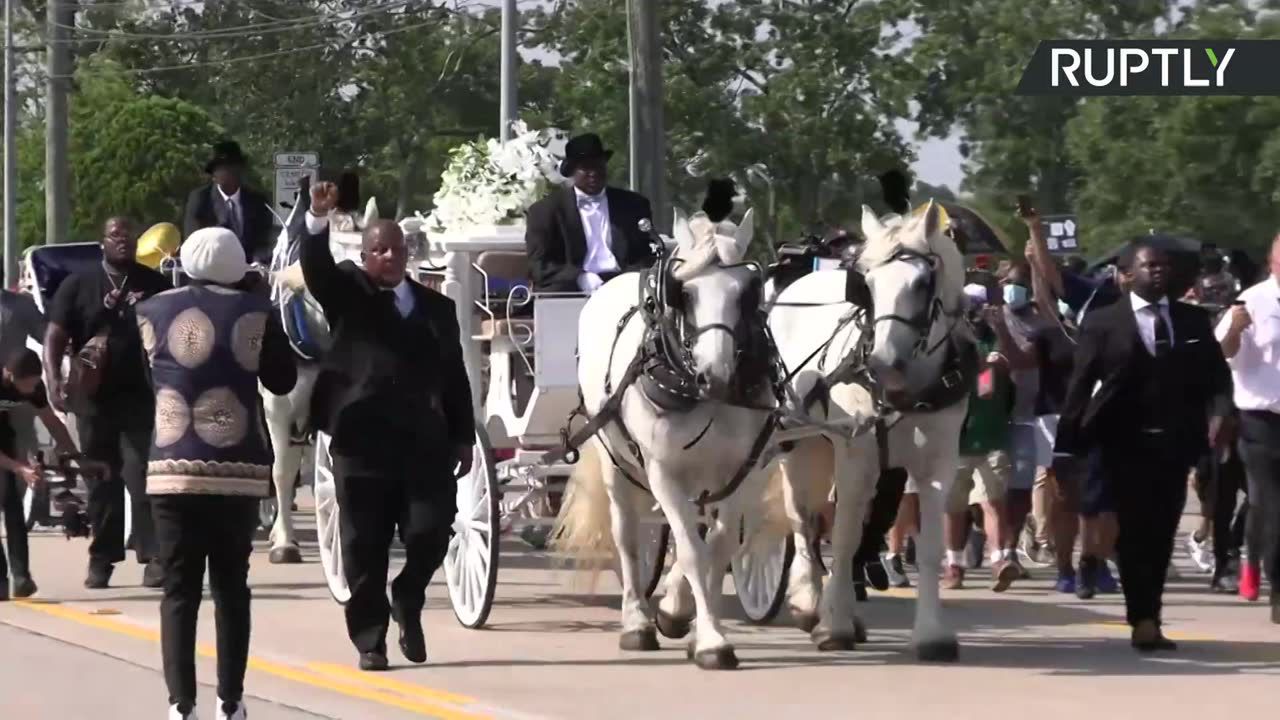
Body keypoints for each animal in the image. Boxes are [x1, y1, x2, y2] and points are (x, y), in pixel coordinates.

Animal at [552, 207, 778, 666]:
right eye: (684, 292)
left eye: (746, 292)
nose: (717, 375)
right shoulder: (664, 473)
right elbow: (691, 549)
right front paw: (709, 641)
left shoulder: (743, 472)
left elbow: (717, 548)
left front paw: (686, 619)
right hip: (615, 463)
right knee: (626, 538)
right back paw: (636, 622)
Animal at [757, 197, 967, 655]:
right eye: (866, 283)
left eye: (923, 283)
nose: (882, 363)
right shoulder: (857, 456)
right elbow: (846, 534)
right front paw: (833, 626)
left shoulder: (938, 462)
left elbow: (928, 545)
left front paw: (932, 634)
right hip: (800, 443)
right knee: (805, 521)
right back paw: (810, 602)